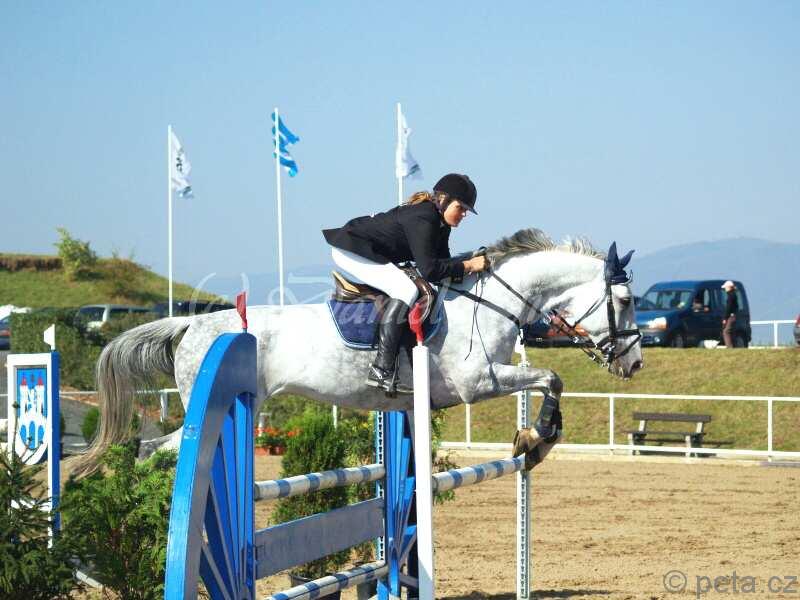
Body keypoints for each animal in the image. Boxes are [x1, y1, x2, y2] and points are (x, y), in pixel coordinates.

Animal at [75, 229, 643, 475]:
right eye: (625, 300)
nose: (634, 362)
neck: (493, 299)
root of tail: (193, 321)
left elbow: (550, 379)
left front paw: (537, 440)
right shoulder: (477, 382)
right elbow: (550, 377)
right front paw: (536, 437)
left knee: (153, 447)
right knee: (161, 449)